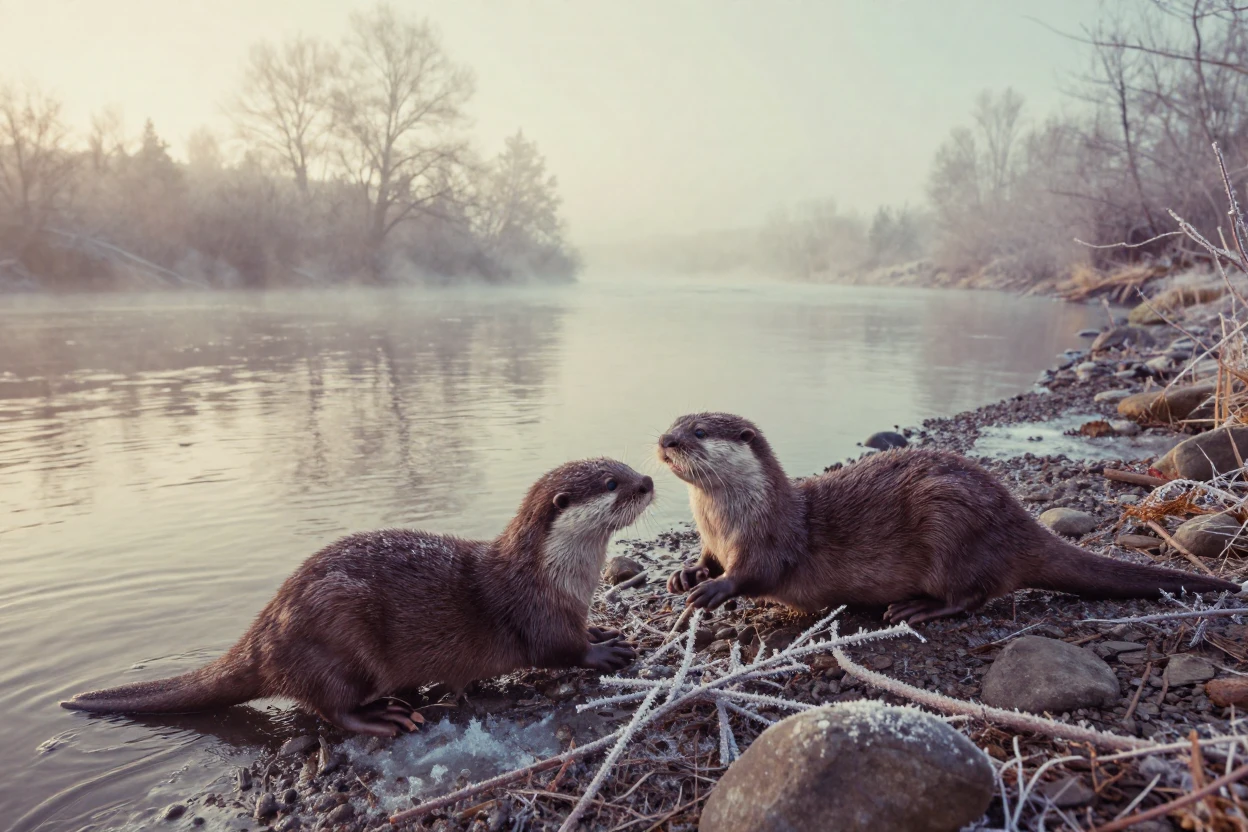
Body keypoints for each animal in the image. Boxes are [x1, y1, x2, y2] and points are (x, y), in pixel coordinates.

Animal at [62, 459, 654, 736]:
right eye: (611, 483)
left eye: (624, 467)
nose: (648, 479)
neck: (560, 577)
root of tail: (263, 636)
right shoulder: (534, 611)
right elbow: (559, 650)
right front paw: (604, 651)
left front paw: (601, 629)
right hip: (335, 629)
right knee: (330, 707)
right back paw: (384, 717)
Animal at [658, 413, 1240, 624]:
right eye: (674, 422)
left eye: (699, 432)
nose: (664, 440)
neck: (728, 521)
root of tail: (1017, 521)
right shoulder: (714, 539)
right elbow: (708, 561)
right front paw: (689, 573)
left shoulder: (774, 536)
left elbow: (756, 573)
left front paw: (715, 589)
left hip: (951, 520)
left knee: (972, 594)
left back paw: (915, 609)